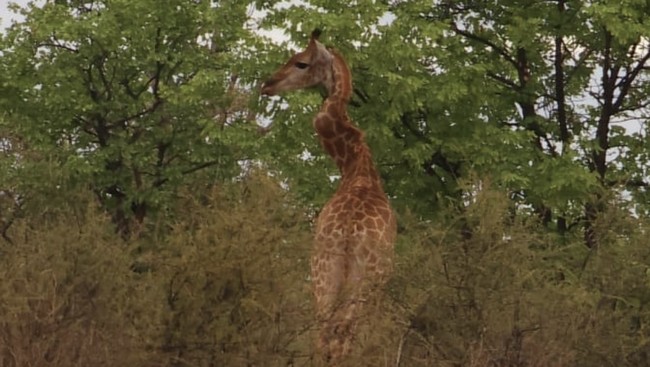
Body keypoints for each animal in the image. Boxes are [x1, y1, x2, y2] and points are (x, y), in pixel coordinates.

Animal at [260, 29, 394, 366]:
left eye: (301, 62)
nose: (267, 84)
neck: (355, 167)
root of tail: (348, 233)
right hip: (362, 281)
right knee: (342, 336)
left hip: (322, 274)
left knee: (323, 335)